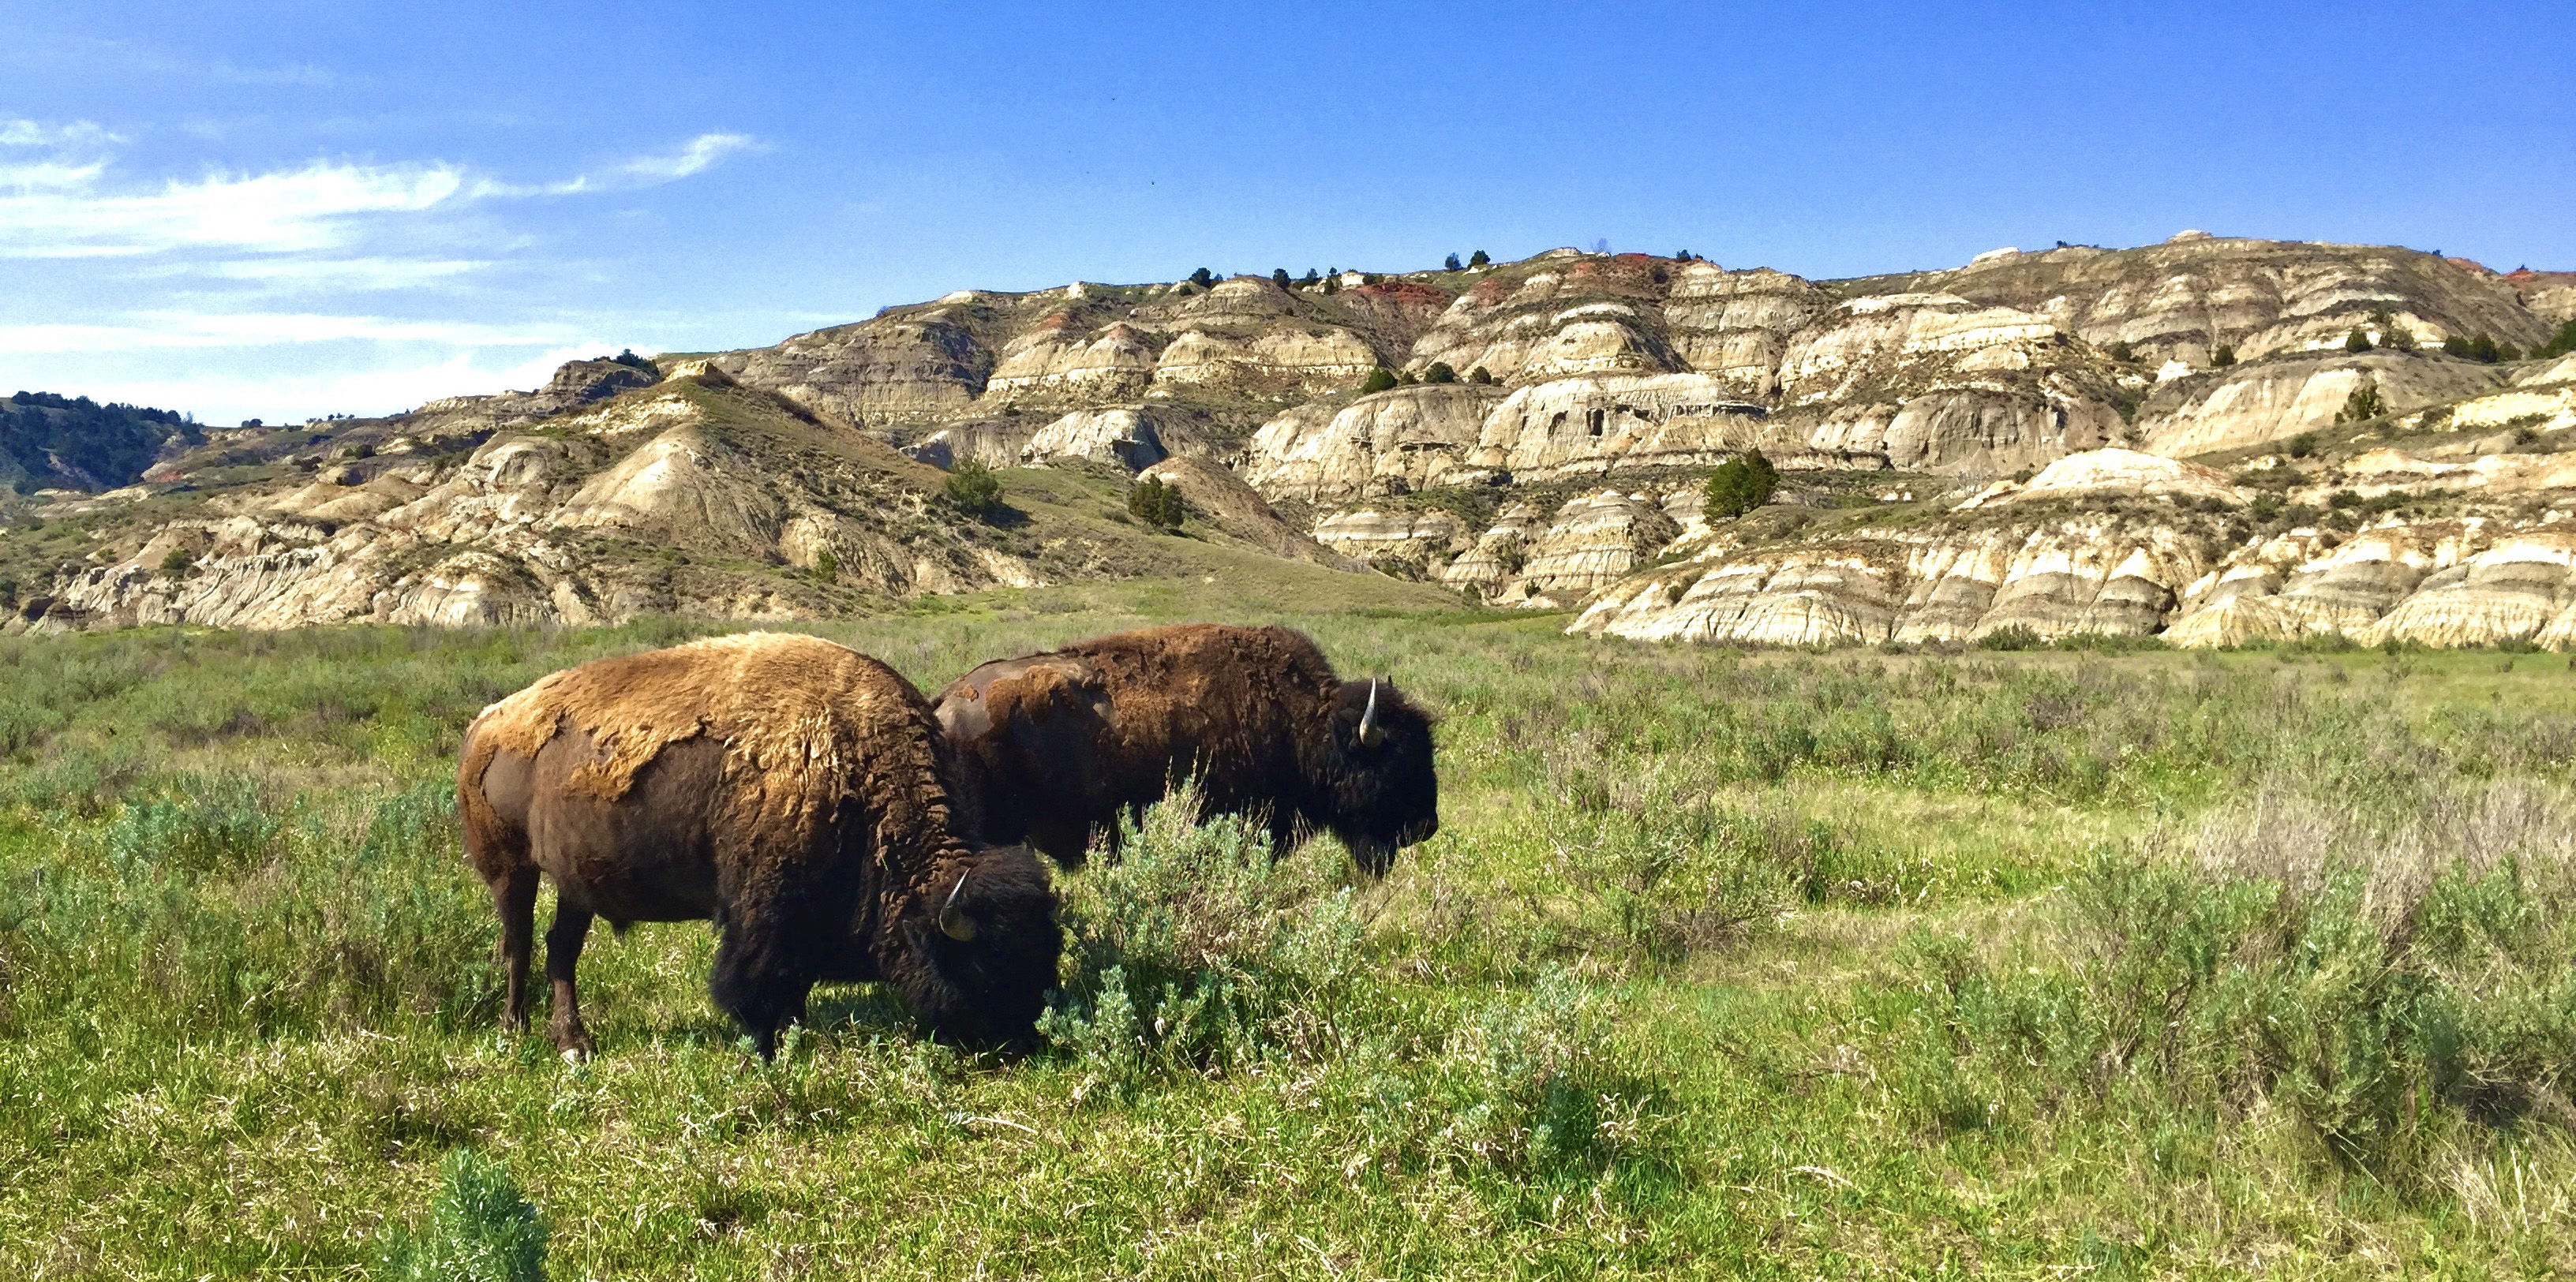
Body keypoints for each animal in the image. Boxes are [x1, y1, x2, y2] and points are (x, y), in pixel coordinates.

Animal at [458, 633, 1061, 1060]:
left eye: (1046, 949)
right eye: (985, 962)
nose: (1023, 1038)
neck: (857, 762)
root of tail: (484, 724)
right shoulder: (763, 902)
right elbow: (758, 975)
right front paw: (768, 1044)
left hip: (575, 884)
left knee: (561, 948)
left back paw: (574, 1043)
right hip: (511, 870)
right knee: (518, 943)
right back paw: (517, 1030)